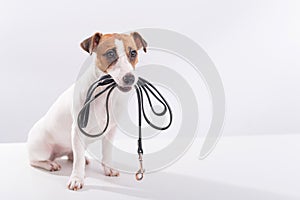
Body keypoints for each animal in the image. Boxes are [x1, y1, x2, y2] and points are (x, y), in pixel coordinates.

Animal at [27, 31, 147, 191]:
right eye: (110, 53)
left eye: (133, 53)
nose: (130, 78)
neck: (104, 94)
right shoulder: (78, 130)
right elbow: (78, 163)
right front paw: (77, 179)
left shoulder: (111, 131)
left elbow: (106, 153)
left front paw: (108, 168)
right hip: (42, 149)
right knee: (35, 161)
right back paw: (50, 164)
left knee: (73, 154)